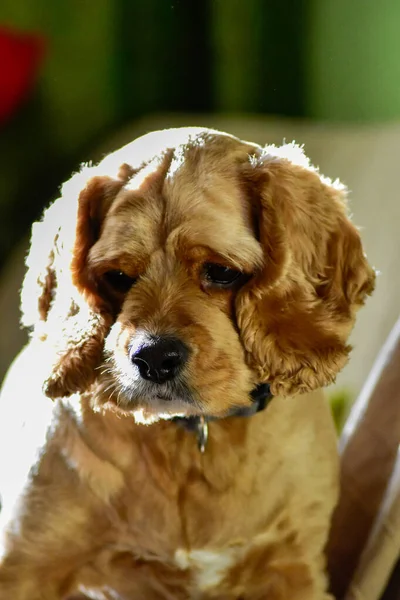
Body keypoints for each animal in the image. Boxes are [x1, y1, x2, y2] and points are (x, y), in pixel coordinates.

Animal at [0, 127, 376, 600]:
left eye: (222, 271)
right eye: (116, 277)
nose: (154, 357)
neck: (193, 438)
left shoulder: (293, 563)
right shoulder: (27, 562)